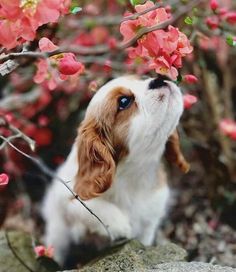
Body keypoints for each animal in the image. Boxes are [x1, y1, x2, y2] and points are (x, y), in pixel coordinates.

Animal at [41, 74, 189, 266]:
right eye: (124, 101)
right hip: (57, 232)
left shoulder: (149, 222)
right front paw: (120, 224)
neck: (134, 172)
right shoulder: (65, 199)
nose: (160, 79)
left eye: (141, 79)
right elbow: (87, 207)